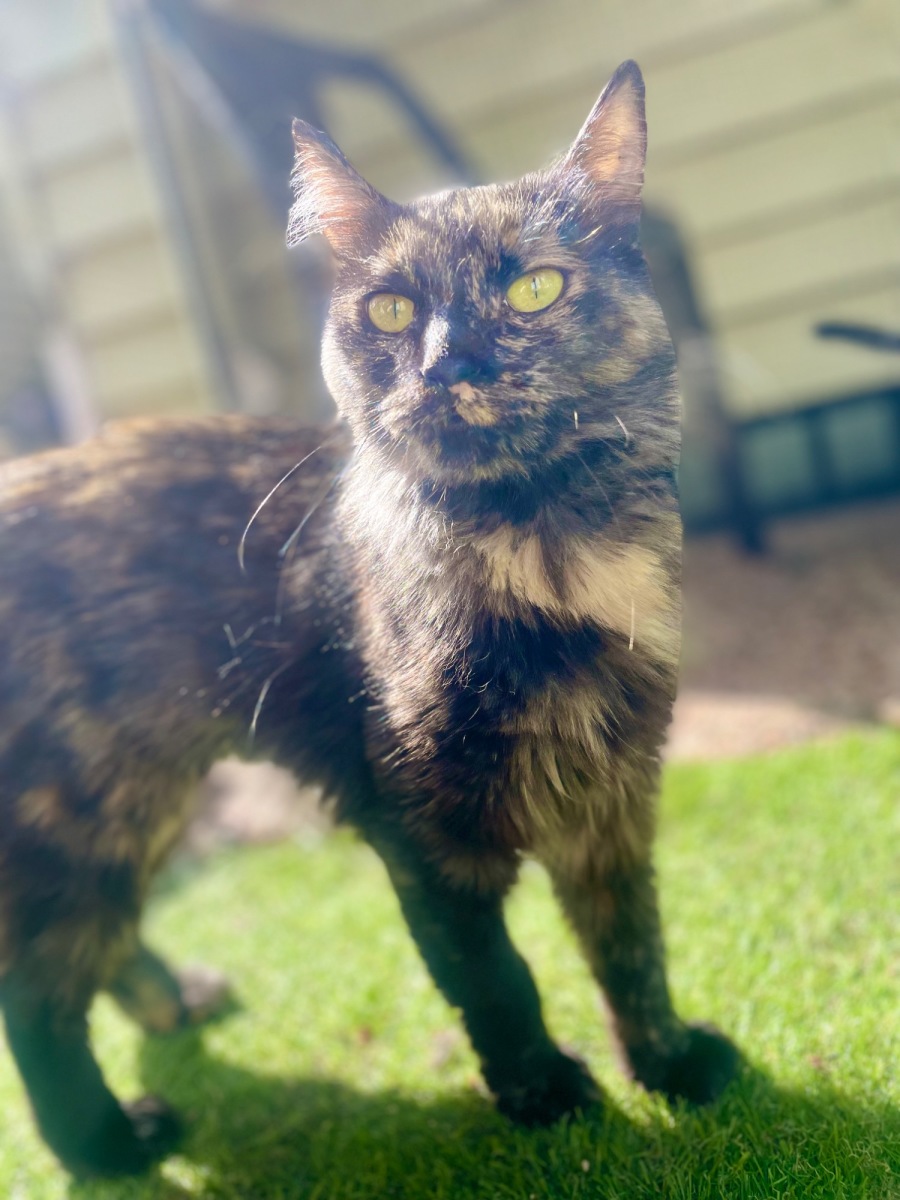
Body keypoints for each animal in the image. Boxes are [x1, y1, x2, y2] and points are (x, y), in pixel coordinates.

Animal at [0, 60, 739, 1177]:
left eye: (533, 288)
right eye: (391, 312)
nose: (449, 363)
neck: (547, 557)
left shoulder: (613, 796)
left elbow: (630, 947)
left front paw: (667, 1062)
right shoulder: (424, 836)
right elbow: (499, 981)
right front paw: (546, 1096)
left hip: (140, 799)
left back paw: (178, 1009)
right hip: (80, 819)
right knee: (38, 1000)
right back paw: (110, 1146)